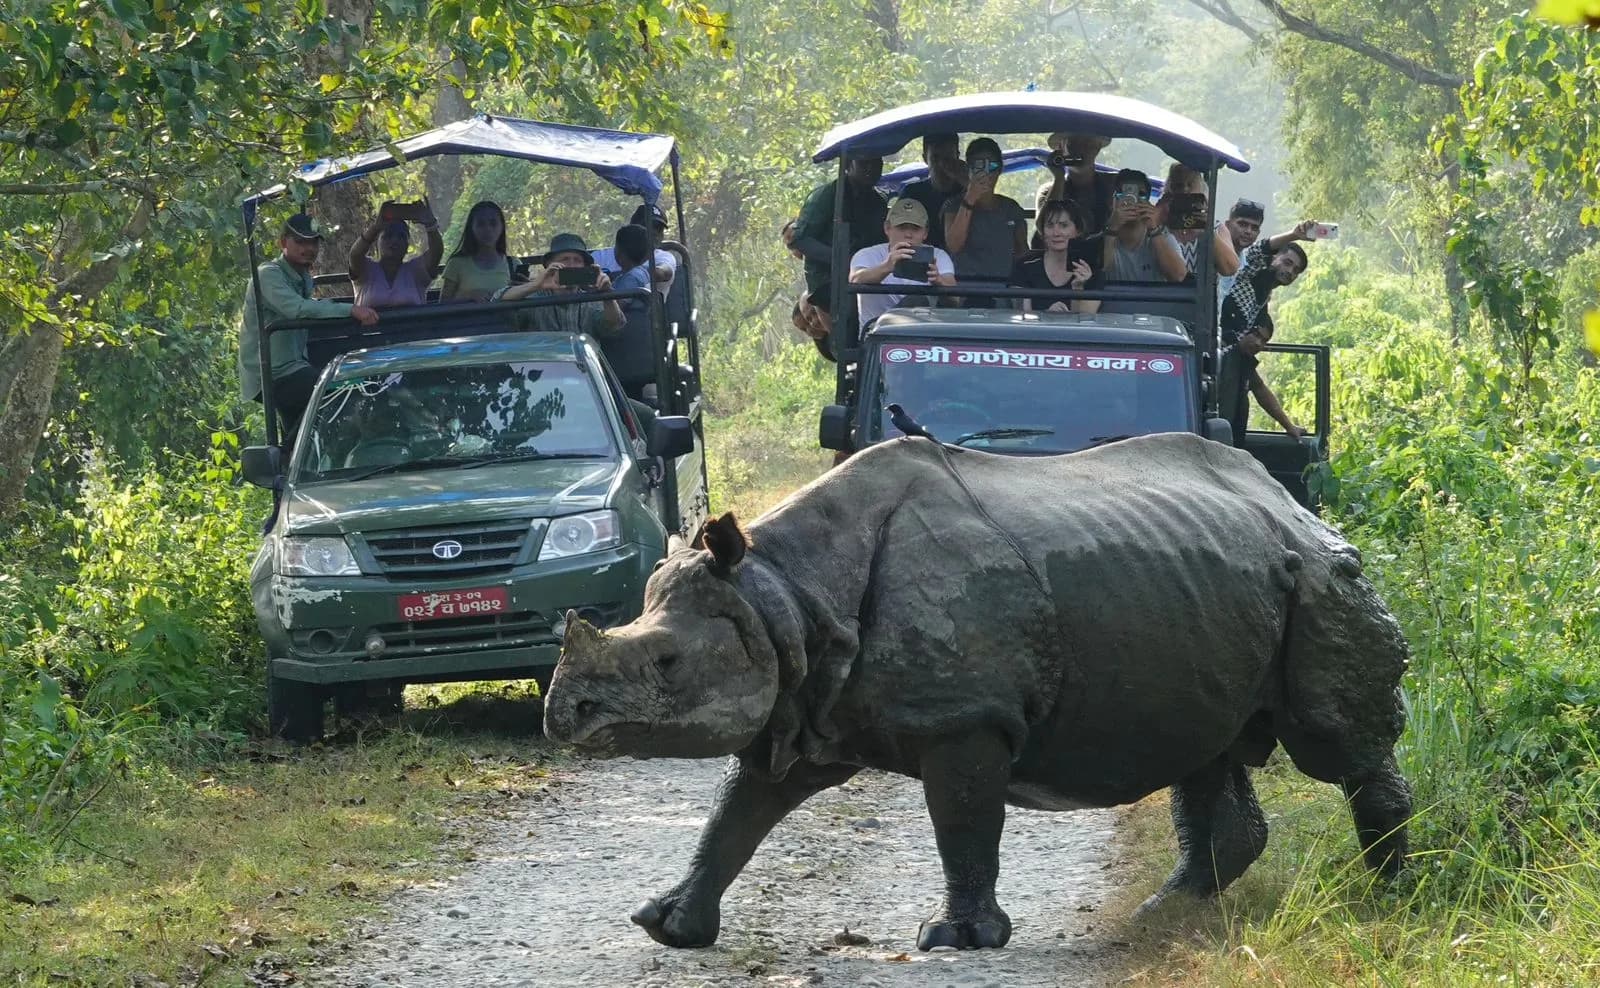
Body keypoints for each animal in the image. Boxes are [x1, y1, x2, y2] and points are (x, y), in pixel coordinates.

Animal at [543, 433, 1412, 951]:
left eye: (666, 662)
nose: (565, 714)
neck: (783, 591)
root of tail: (1294, 501)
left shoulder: (962, 719)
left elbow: (962, 822)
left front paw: (955, 939)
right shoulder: (804, 704)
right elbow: (739, 812)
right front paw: (668, 927)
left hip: (1325, 578)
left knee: (1333, 743)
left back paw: (1389, 895)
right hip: (1213, 584)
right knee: (1205, 752)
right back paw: (1163, 917)